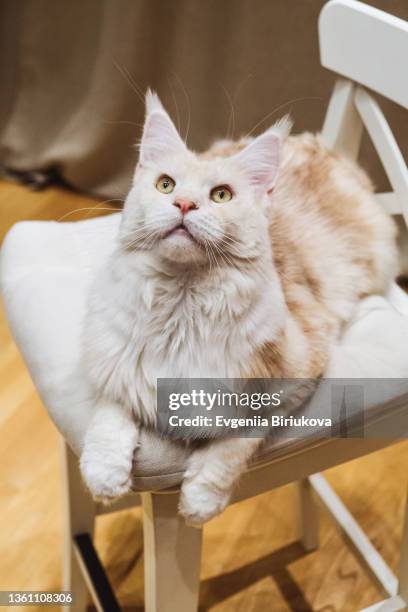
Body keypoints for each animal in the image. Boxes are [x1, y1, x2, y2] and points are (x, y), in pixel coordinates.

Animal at [79, 89, 396, 524]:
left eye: (221, 195)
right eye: (165, 185)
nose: (183, 204)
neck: (181, 306)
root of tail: (327, 148)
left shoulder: (297, 372)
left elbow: (236, 442)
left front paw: (200, 500)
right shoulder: (117, 357)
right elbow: (110, 410)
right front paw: (105, 474)